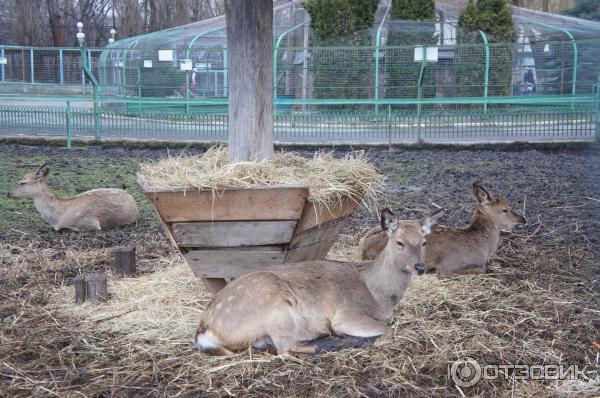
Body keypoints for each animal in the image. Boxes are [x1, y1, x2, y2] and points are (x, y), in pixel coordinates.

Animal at [197, 207, 446, 356]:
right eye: (399, 242)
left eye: (424, 241)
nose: (420, 267)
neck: (379, 296)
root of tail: (205, 329)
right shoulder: (347, 313)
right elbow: (388, 331)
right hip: (274, 308)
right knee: (286, 347)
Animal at [358, 183, 528, 274]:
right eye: (505, 209)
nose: (523, 219)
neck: (482, 248)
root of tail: (363, 246)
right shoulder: (449, 265)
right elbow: (483, 269)